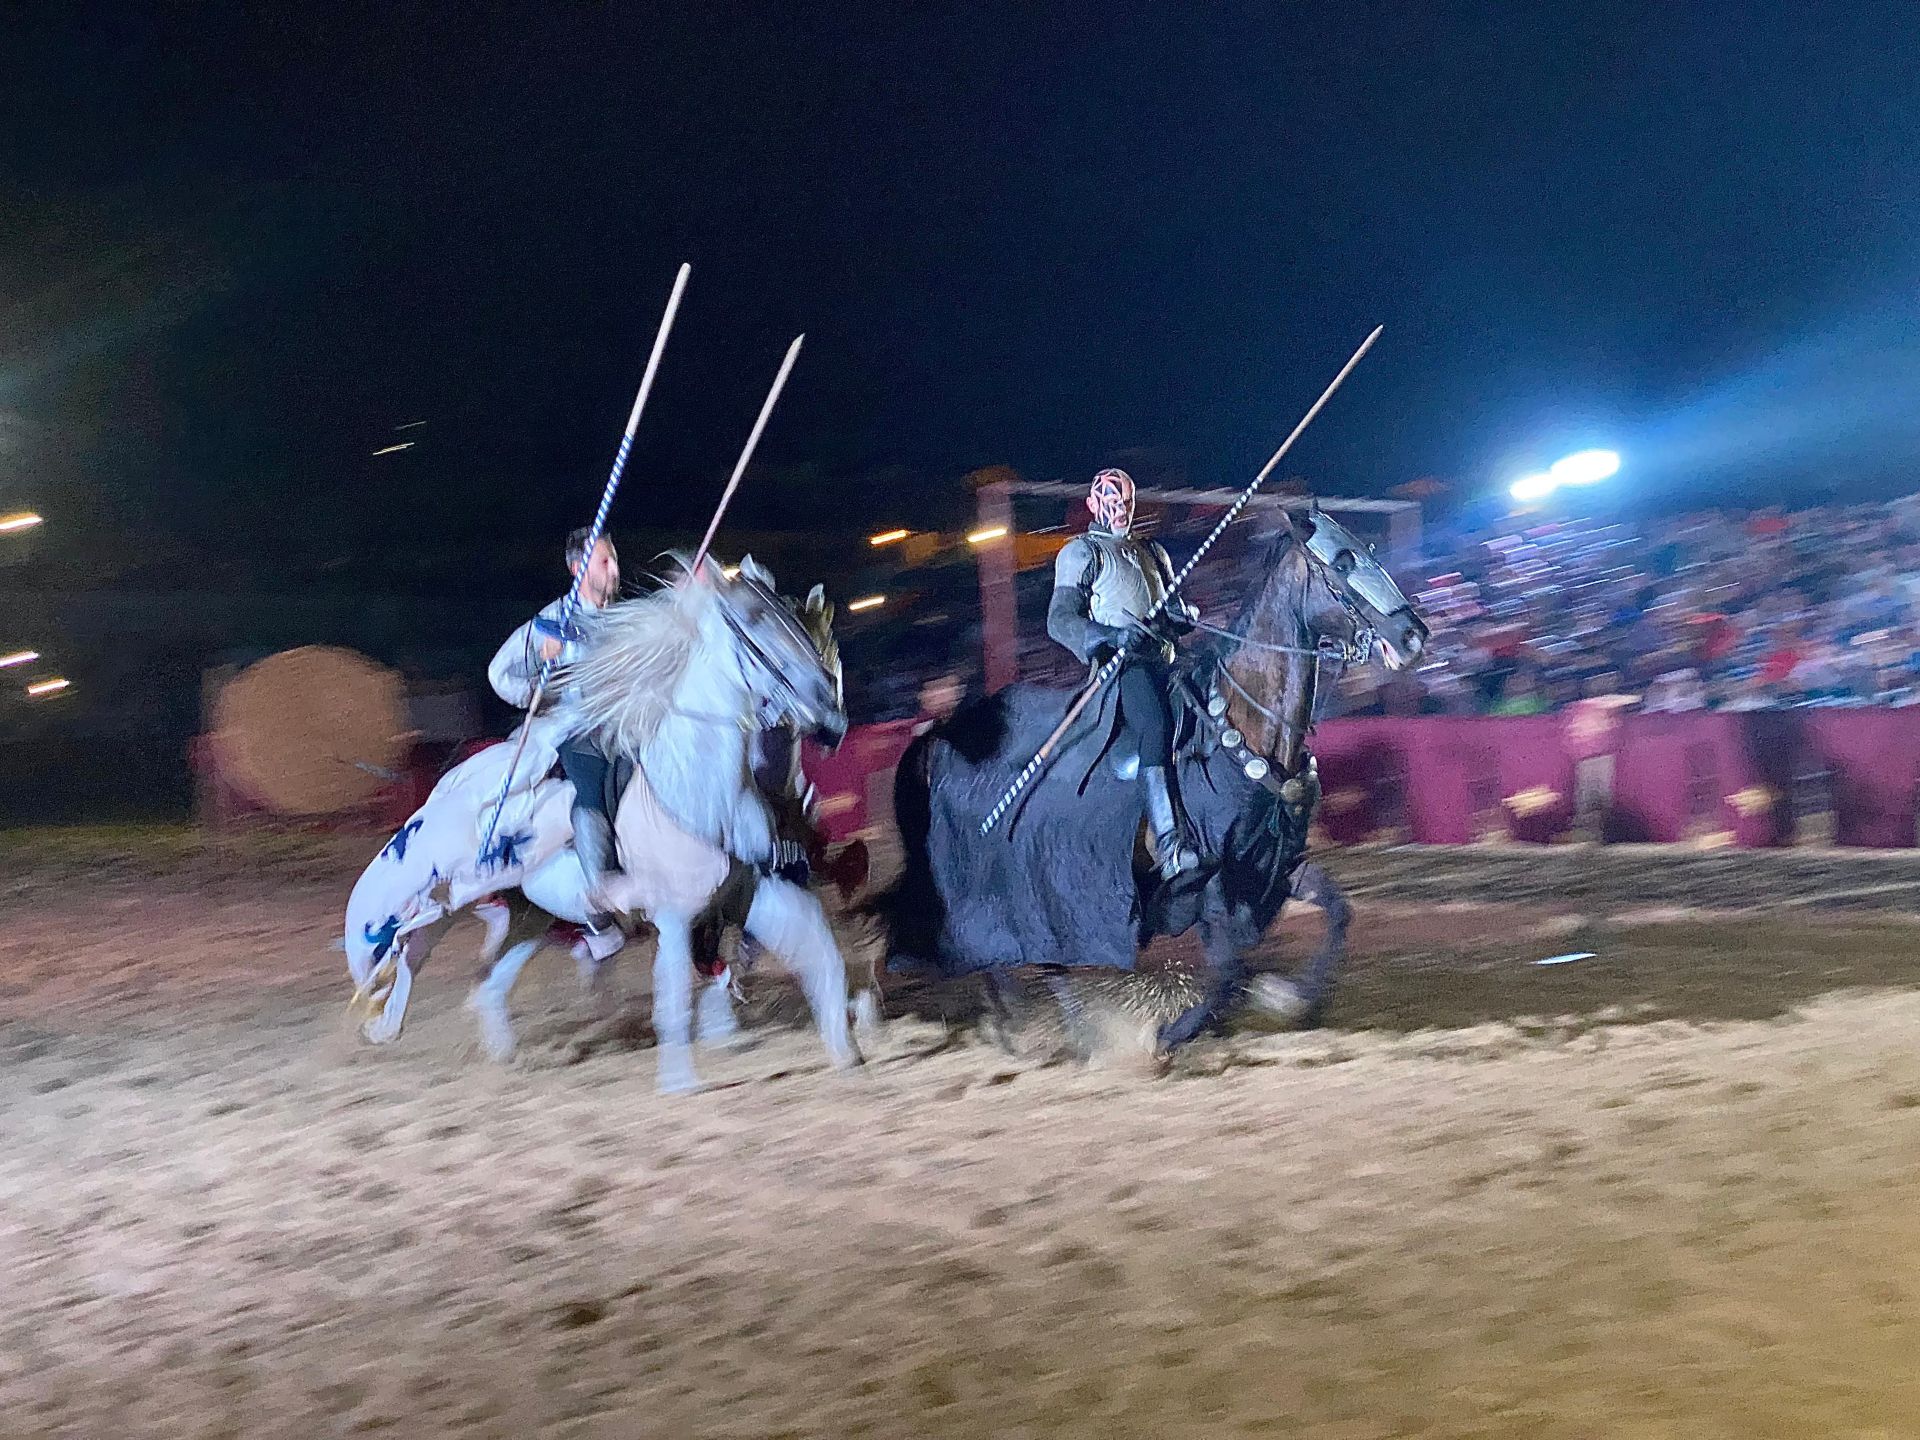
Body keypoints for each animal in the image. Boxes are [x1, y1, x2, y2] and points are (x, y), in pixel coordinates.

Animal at [341, 560, 860, 1090]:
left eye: (800, 626)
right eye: (754, 626)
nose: (831, 719)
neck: (698, 789)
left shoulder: (751, 895)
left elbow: (817, 952)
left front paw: (847, 1047)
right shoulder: (676, 916)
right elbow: (674, 996)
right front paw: (681, 1082)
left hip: (528, 917)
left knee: (485, 983)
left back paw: (502, 1058)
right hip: (451, 895)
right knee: (408, 945)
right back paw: (384, 1018)